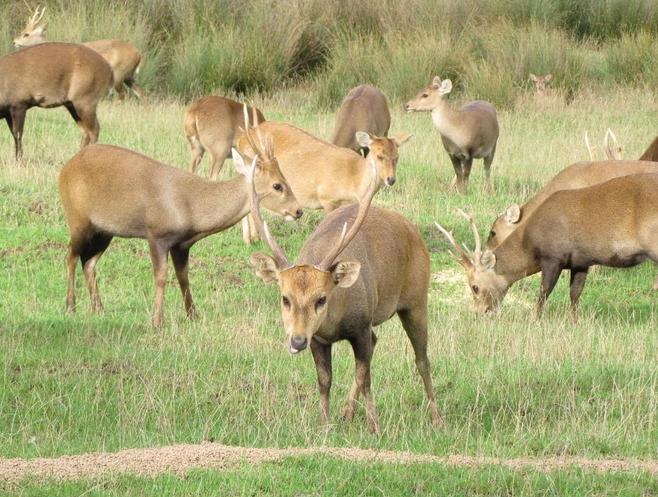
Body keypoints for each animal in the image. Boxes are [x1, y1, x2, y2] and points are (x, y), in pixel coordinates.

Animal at [14, 5, 145, 100]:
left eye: (26, 34)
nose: (14, 41)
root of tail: (138, 53)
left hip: (118, 74)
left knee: (123, 95)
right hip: (129, 76)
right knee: (141, 93)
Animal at [59, 120, 300, 328]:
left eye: (286, 178)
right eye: (278, 185)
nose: (298, 210)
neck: (192, 210)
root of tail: (64, 169)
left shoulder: (182, 244)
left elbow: (184, 277)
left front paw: (193, 314)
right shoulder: (157, 234)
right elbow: (161, 277)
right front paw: (157, 320)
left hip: (105, 230)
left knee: (89, 262)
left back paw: (99, 308)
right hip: (77, 218)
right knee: (71, 255)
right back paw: (70, 306)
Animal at [249, 157, 438, 432]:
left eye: (321, 298)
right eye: (285, 298)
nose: (297, 341)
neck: (334, 325)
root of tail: (413, 230)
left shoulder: (360, 326)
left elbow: (365, 377)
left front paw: (374, 426)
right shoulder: (318, 339)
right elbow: (324, 380)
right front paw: (324, 424)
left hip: (416, 299)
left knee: (422, 359)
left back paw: (437, 417)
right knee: (378, 342)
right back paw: (347, 412)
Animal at [436, 173, 656, 322]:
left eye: (474, 286)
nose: (479, 313)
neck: (530, 244)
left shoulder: (552, 256)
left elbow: (543, 292)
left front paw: (535, 320)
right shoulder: (581, 260)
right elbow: (575, 294)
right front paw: (573, 322)